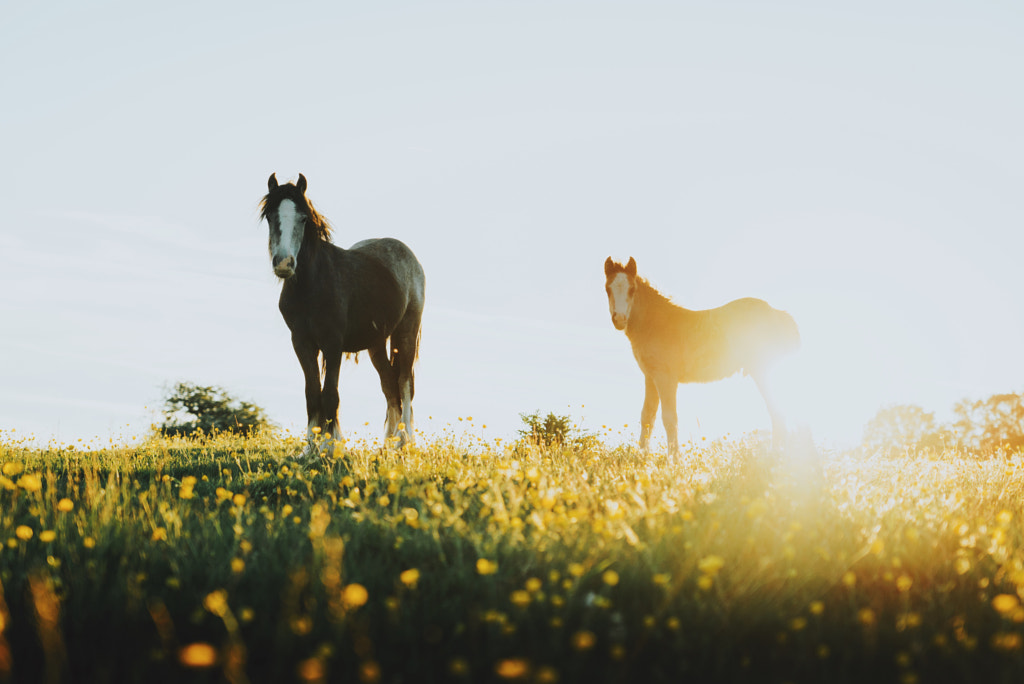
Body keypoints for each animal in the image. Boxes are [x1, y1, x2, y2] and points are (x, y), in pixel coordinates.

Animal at [264, 174, 428, 450]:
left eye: (303, 218)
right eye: (269, 216)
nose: (284, 263)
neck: (313, 284)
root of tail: (409, 257)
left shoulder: (333, 344)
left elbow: (330, 394)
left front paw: (330, 447)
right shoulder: (302, 343)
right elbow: (312, 393)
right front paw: (311, 447)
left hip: (406, 332)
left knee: (404, 383)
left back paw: (403, 442)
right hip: (376, 344)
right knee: (389, 386)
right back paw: (388, 443)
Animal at [606, 255, 798, 454]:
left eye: (632, 289)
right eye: (607, 289)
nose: (619, 319)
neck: (655, 324)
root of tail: (777, 313)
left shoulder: (666, 378)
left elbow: (669, 419)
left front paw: (673, 460)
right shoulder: (651, 377)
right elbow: (647, 417)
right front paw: (643, 457)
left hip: (764, 370)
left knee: (778, 413)